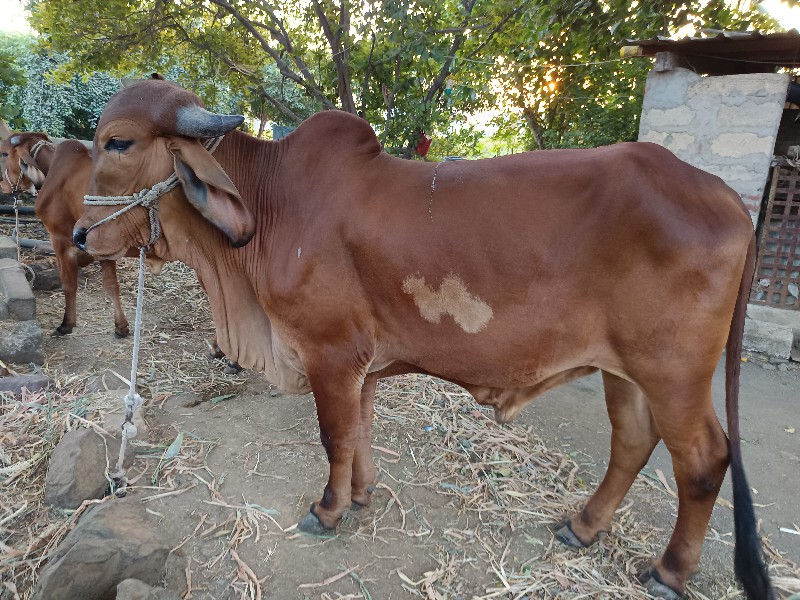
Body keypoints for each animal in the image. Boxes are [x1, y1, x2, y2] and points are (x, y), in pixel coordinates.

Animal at [75, 81, 776, 600]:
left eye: (118, 142)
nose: (80, 234)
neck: (271, 205)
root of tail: (725, 197)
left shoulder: (329, 353)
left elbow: (335, 436)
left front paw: (328, 510)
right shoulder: (358, 366)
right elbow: (358, 431)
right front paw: (360, 495)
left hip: (674, 372)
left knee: (703, 461)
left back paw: (668, 572)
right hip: (624, 370)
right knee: (632, 441)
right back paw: (582, 528)